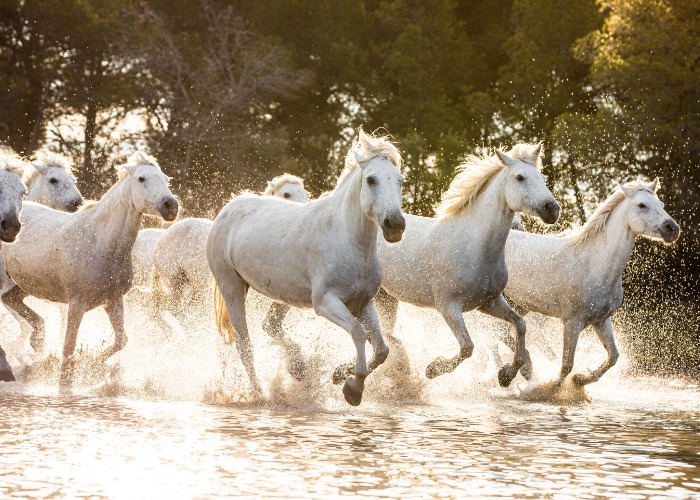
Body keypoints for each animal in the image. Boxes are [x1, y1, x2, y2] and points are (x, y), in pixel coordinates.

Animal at [3, 150, 178, 392]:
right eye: (141, 178)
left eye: (165, 179)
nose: (171, 206)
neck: (100, 242)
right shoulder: (77, 304)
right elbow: (68, 347)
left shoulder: (113, 301)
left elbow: (121, 340)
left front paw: (94, 363)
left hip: (22, 286)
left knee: (14, 302)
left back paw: (36, 345)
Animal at [208, 130, 404, 406]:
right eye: (371, 179)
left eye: (400, 180)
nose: (395, 225)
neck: (349, 239)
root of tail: (227, 210)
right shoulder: (325, 302)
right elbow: (358, 333)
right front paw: (353, 389)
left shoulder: (364, 302)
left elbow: (382, 349)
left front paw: (340, 374)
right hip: (232, 288)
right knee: (245, 346)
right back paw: (260, 393)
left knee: (268, 329)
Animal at [358, 143, 560, 388]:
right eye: (520, 177)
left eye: (543, 177)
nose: (552, 209)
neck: (475, 246)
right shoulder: (449, 307)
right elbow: (467, 347)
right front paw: (433, 369)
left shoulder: (489, 303)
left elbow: (520, 325)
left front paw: (508, 374)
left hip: (385, 298)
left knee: (382, 336)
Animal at [504, 180, 680, 386]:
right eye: (642, 205)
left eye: (661, 205)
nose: (672, 229)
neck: (595, 264)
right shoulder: (572, 323)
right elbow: (566, 365)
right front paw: (552, 388)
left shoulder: (601, 320)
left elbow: (613, 356)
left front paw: (580, 380)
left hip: (518, 305)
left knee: (508, 333)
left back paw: (518, 370)